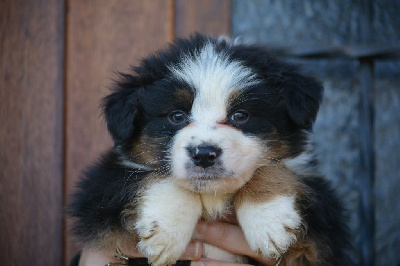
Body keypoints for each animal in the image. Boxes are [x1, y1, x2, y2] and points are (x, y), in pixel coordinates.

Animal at [69, 34, 350, 264]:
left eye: (240, 115)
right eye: (177, 116)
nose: (203, 155)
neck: (213, 197)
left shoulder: (322, 228)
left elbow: (271, 169)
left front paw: (269, 221)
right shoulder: (99, 194)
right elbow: (151, 176)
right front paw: (166, 231)